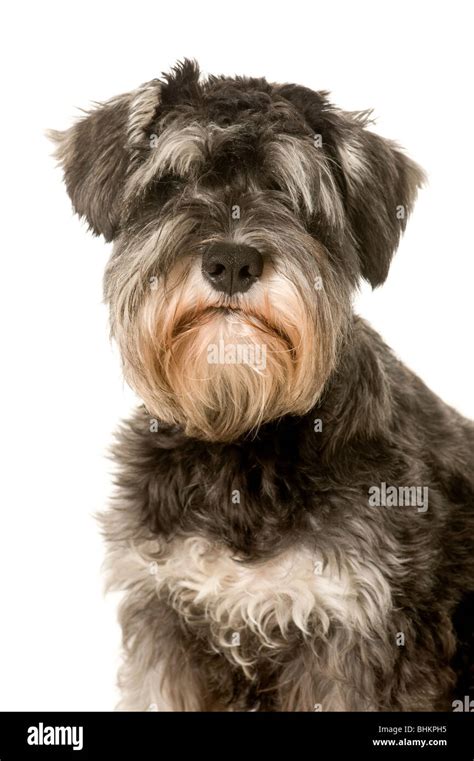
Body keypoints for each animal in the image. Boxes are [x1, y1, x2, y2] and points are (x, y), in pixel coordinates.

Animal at [49, 60, 474, 712]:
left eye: (291, 195)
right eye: (173, 182)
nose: (230, 261)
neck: (241, 436)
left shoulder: (351, 637)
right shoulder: (164, 622)